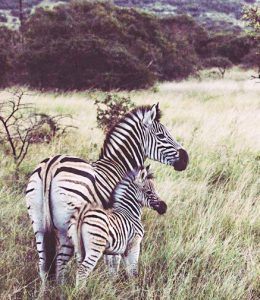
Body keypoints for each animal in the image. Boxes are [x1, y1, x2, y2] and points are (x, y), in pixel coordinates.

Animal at [26, 102, 188, 284]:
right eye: (161, 136)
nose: (186, 160)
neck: (119, 165)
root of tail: (51, 166)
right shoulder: (116, 218)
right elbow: (114, 259)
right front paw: (113, 281)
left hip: (38, 223)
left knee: (43, 264)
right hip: (66, 225)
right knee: (61, 261)